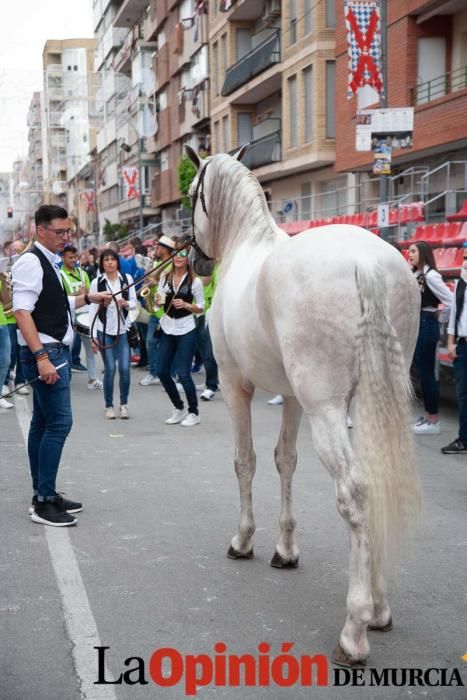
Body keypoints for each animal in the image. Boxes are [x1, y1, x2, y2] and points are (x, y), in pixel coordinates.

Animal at [186, 146, 424, 668]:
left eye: (193, 192)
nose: (194, 260)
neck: (245, 245)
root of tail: (366, 262)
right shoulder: (292, 397)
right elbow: (285, 461)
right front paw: (286, 548)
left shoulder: (235, 384)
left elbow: (246, 461)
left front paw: (244, 540)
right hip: (372, 398)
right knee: (377, 482)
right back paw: (380, 606)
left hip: (327, 408)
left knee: (355, 493)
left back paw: (355, 629)